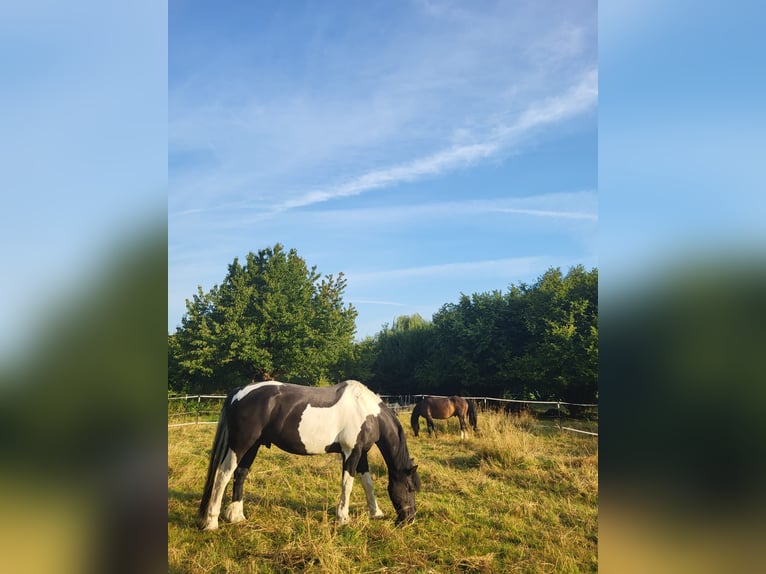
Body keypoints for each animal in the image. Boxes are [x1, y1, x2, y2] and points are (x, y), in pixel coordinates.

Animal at [198, 380, 421, 530]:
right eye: (410, 488)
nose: (409, 519)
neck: (366, 411)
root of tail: (238, 393)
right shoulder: (351, 452)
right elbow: (347, 484)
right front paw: (343, 518)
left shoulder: (362, 453)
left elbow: (367, 483)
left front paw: (376, 513)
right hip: (241, 444)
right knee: (223, 475)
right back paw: (212, 522)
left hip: (253, 445)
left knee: (240, 474)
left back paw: (236, 516)